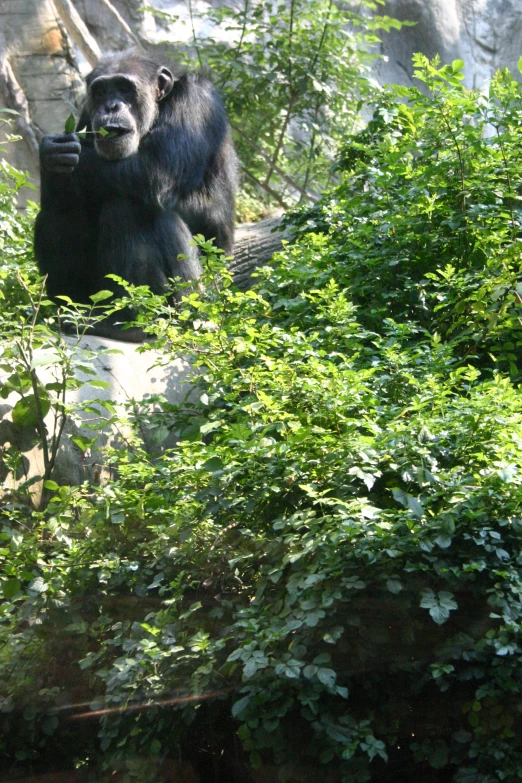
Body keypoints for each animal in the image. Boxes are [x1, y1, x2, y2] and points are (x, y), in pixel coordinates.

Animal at [35, 49, 239, 340]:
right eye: (101, 92)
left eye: (124, 88)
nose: (110, 106)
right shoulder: (86, 113)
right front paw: (52, 154)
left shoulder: (197, 102)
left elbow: (155, 170)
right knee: (57, 212)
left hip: (198, 303)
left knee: (128, 208)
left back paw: (133, 324)